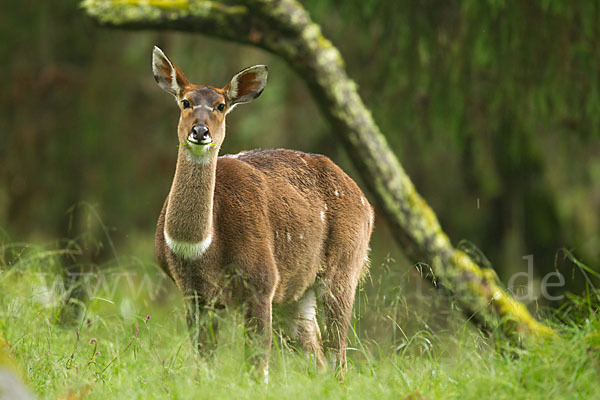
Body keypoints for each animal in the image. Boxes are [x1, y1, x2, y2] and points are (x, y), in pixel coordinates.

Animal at [152, 46, 372, 378]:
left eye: (221, 105)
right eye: (185, 101)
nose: (200, 132)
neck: (202, 247)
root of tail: (366, 203)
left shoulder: (262, 283)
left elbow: (258, 363)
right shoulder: (195, 295)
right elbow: (205, 362)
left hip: (344, 269)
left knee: (338, 354)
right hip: (297, 291)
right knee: (316, 351)